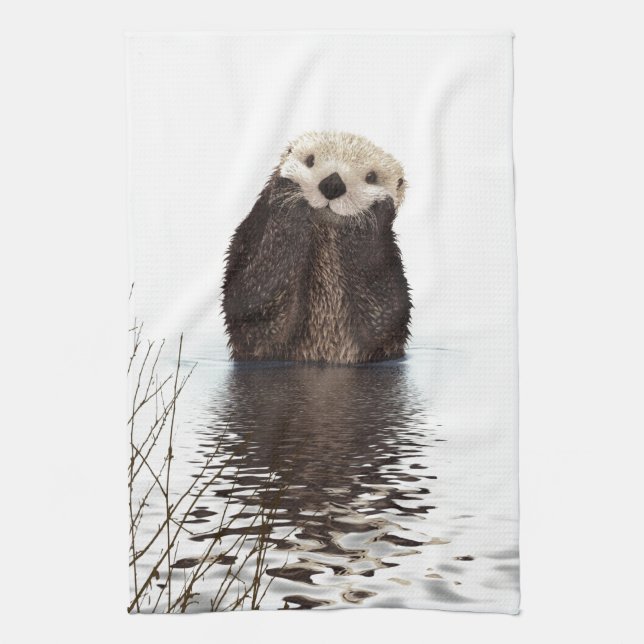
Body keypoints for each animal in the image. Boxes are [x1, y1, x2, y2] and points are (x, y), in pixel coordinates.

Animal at [222, 131, 411, 364]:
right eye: (310, 160)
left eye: (371, 177)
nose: (333, 184)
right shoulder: (248, 241)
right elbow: (251, 304)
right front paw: (289, 196)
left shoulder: (389, 269)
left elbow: (385, 316)